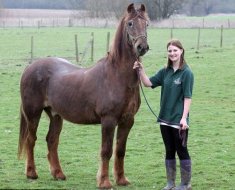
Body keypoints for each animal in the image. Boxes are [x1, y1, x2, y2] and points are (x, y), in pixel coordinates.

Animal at [17, 3, 149, 189]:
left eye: (147, 23)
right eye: (130, 23)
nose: (142, 47)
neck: (116, 76)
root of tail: (30, 67)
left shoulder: (127, 120)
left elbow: (120, 150)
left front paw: (122, 180)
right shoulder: (108, 120)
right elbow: (106, 151)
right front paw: (104, 181)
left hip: (55, 115)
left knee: (52, 140)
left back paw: (58, 174)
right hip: (33, 114)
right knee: (31, 139)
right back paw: (31, 173)